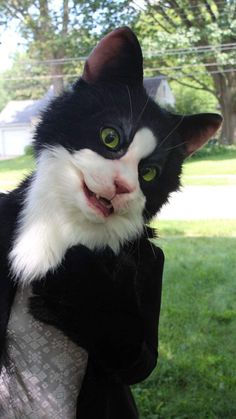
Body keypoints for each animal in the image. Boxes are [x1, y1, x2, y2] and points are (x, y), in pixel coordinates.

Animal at [0, 27, 221, 419]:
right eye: (110, 137)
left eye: (148, 173)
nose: (121, 186)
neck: (68, 224)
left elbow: (134, 350)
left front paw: (78, 282)